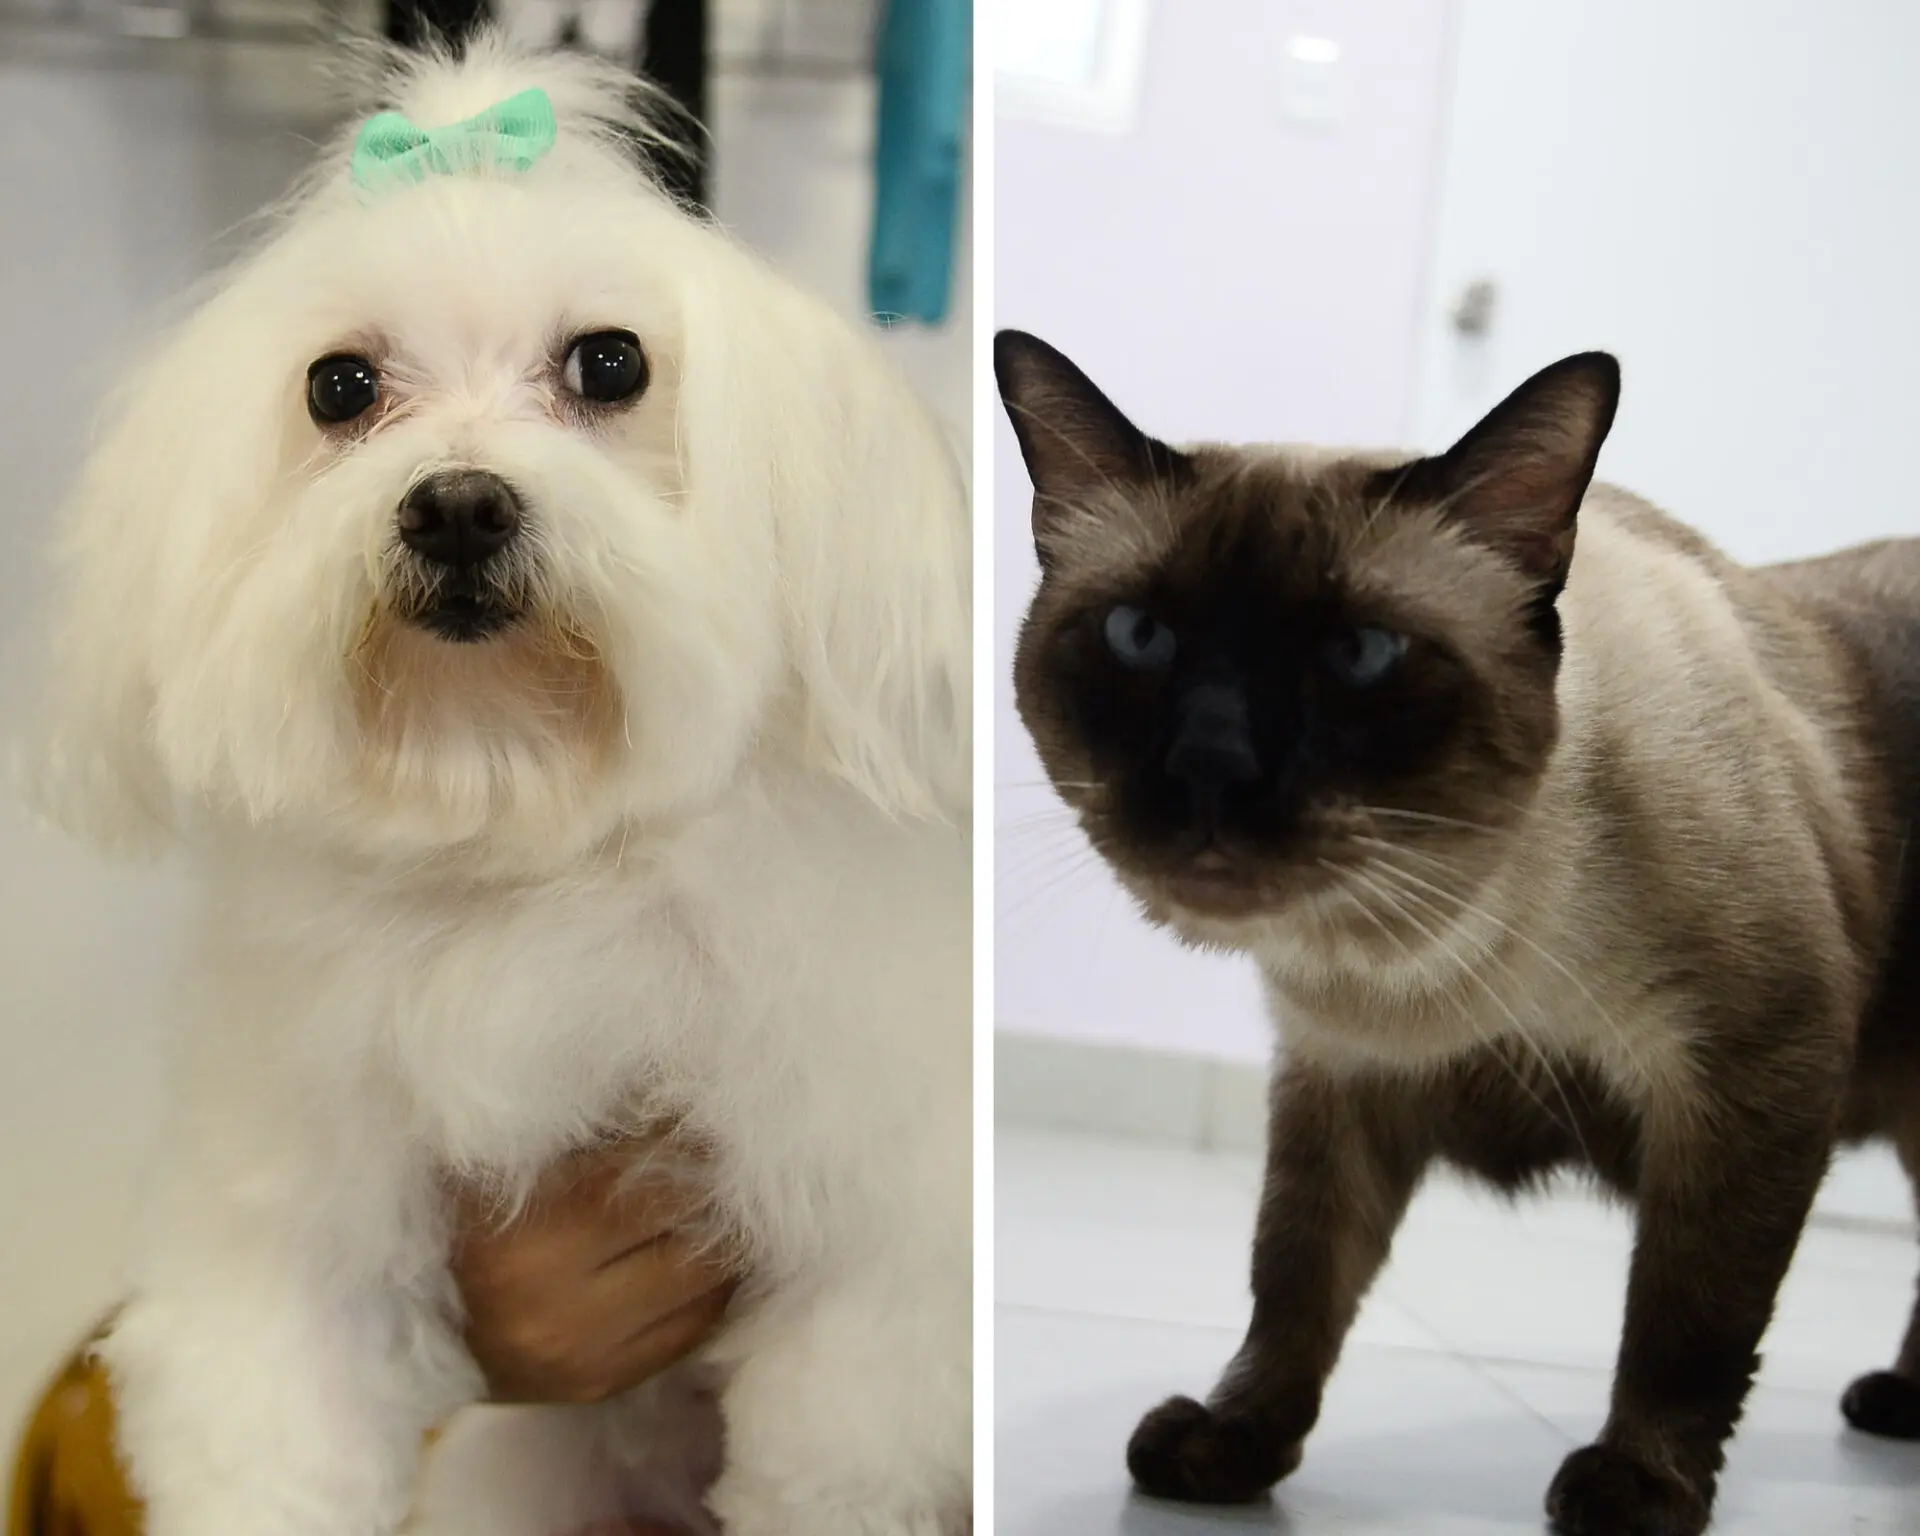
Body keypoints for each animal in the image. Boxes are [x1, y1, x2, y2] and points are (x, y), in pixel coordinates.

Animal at [35, 36, 975, 1536]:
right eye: (339, 387)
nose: (459, 505)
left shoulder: (883, 1256)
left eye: (611, 362)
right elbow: (268, 1437)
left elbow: (830, 1452)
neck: (518, 839)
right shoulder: (287, 1234)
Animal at [998, 332, 1920, 1536]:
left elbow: (1685, 1328)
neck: (1417, 953)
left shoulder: (1749, 1077)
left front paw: (1636, 1490)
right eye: (1140, 638)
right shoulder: (1338, 1078)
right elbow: (1291, 1285)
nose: (1212, 766)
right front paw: (1232, 1448)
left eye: (1362, 655)